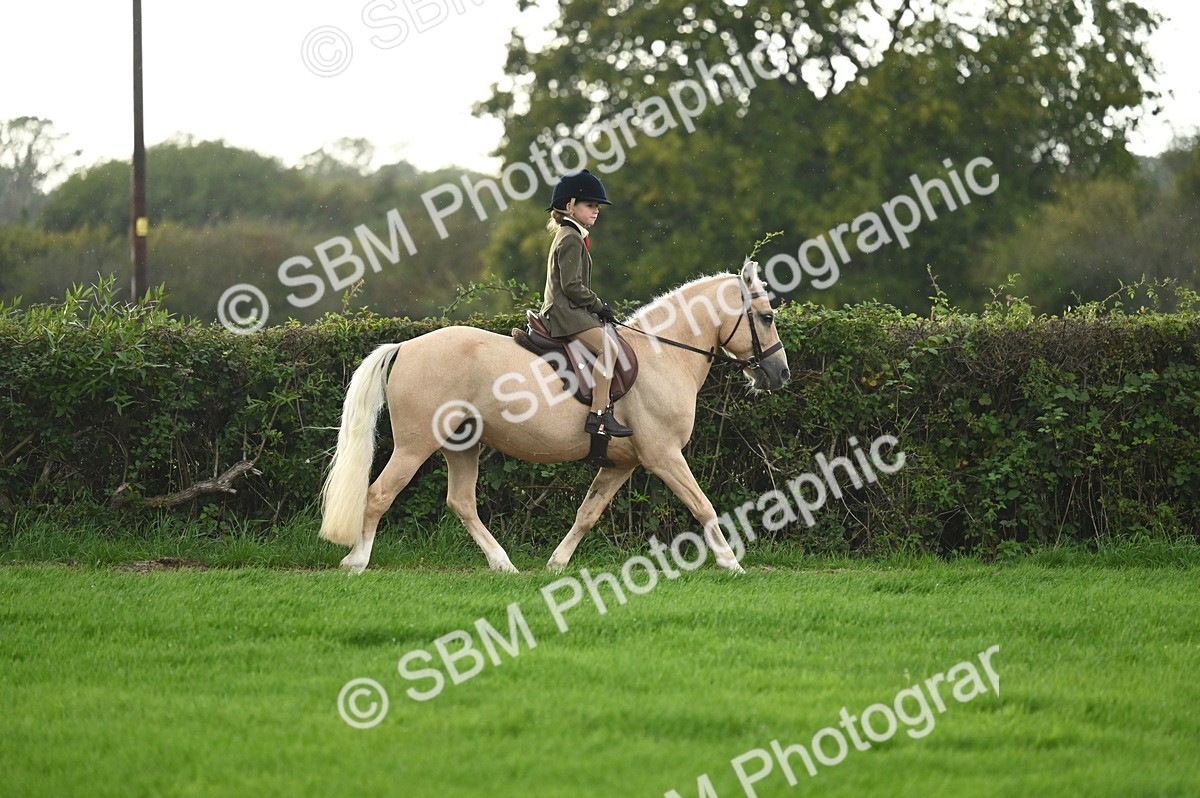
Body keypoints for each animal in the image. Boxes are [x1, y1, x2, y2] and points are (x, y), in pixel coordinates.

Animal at [318, 259, 790, 574]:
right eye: (766, 317)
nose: (780, 373)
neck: (664, 355)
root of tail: (405, 346)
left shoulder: (621, 464)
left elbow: (587, 513)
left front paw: (557, 563)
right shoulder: (664, 456)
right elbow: (703, 505)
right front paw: (732, 564)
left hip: (462, 445)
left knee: (462, 503)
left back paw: (503, 564)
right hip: (415, 446)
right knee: (379, 494)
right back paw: (357, 561)